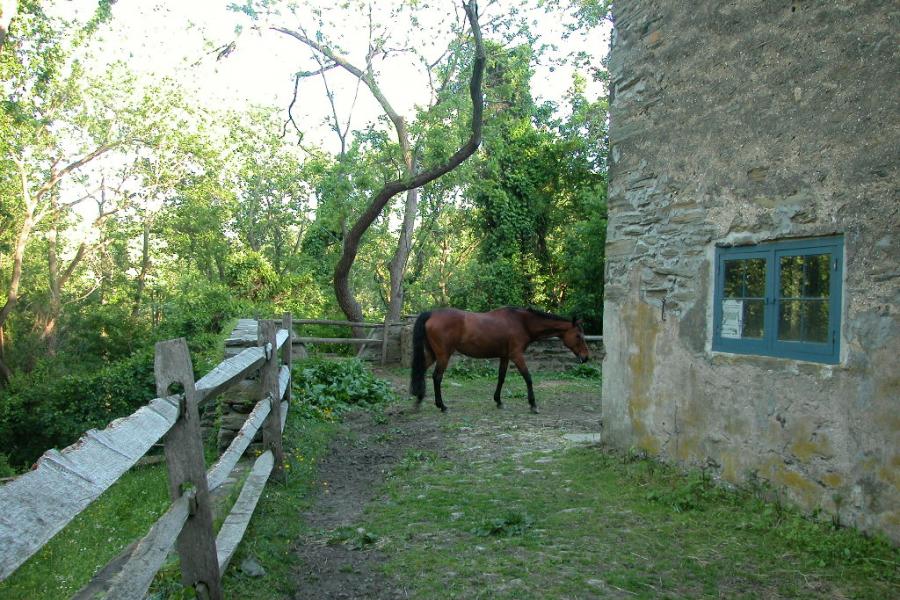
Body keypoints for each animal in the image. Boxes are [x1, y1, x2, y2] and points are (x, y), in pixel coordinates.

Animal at [408, 308, 592, 414]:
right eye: (578, 335)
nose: (586, 357)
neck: (522, 322)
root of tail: (431, 314)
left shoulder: (505, 357)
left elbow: (501, 378)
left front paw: (499, 401)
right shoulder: (517, 355)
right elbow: (528, 378)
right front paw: (533, 404)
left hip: (434, 355)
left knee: (421, 371)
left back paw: (418, 401)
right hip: (443, 356)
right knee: (436, 377)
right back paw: (442, 406)